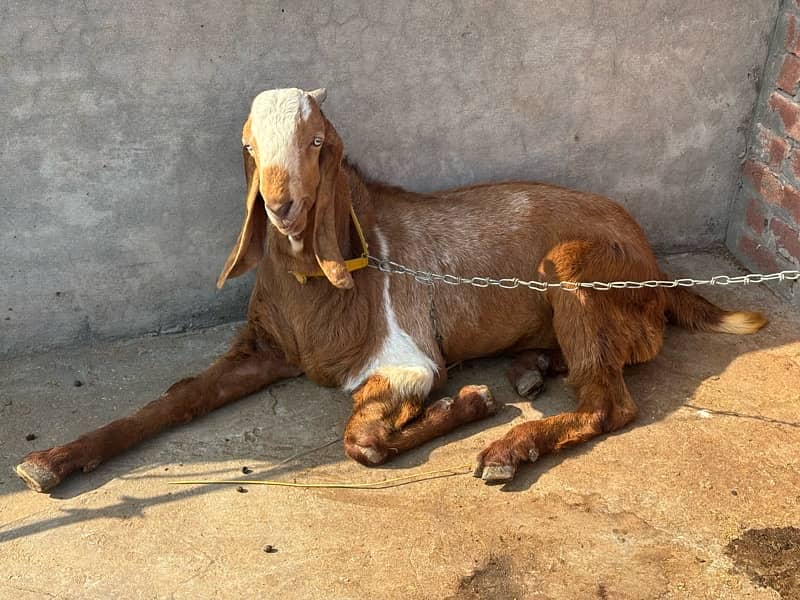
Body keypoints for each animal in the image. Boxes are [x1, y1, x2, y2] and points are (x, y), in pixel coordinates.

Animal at [14, 88, 768, 492]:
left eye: (318, 144)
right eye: (250, 146)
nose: (282, 208)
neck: (315, 285)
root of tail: (658, 268)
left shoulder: (404, 359)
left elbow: (362, 442)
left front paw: (471, 403)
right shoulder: (263, 347)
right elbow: (174, 400)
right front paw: (50, 461)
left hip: (572, 266)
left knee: (611, 403)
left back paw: (510, 448)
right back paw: (531, 366)